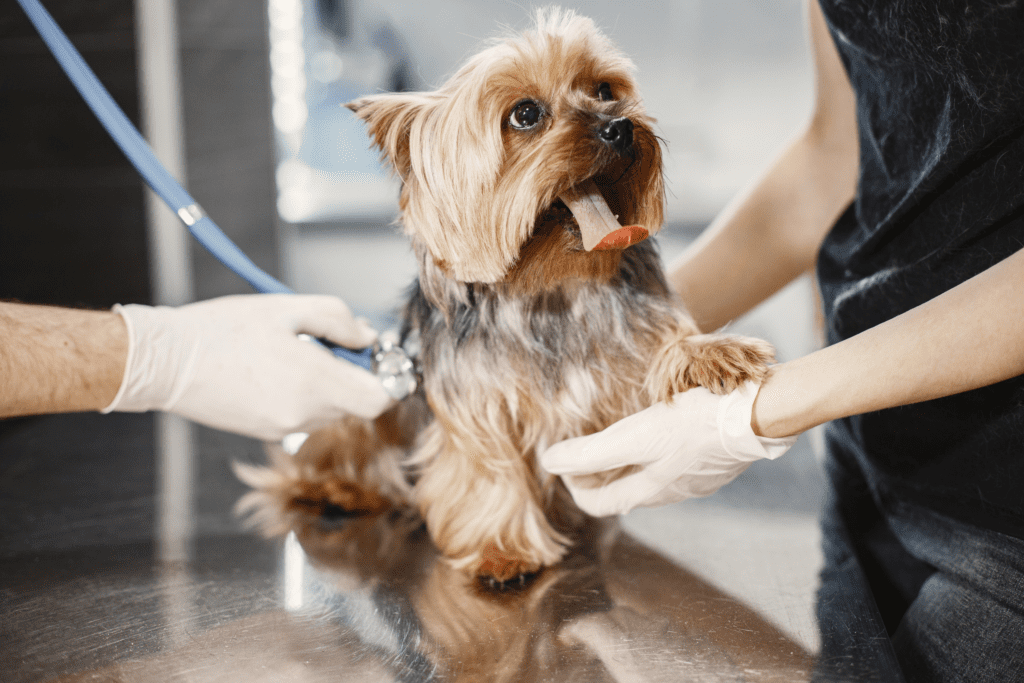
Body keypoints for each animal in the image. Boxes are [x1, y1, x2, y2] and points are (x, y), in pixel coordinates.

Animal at [237, 6, 770, 589]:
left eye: (605, 90)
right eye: (525, 114)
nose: (620, 126)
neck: (551, 291)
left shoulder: (625, 361)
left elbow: (661, 356)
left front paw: (709, 353)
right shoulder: (475, 404)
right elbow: (486, 468)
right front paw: (501, 549)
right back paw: (337, 487)